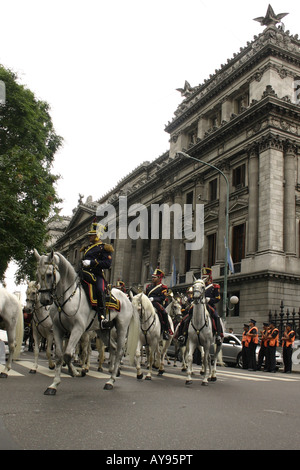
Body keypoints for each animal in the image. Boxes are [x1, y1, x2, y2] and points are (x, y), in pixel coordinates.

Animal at [34, 248, 137, 394]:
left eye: (49, 274)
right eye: (37, 274)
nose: (44, 300)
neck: (68, 297)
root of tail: (126, 296)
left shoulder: (78, 329)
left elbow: (67, 354)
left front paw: (76, 372)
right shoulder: (58, 329)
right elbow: (59, 355)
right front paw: (54, 384)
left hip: (121, 328)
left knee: (119, 352)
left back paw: (111, 380)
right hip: (102, 330)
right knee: (113, 347)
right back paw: (113, 373)